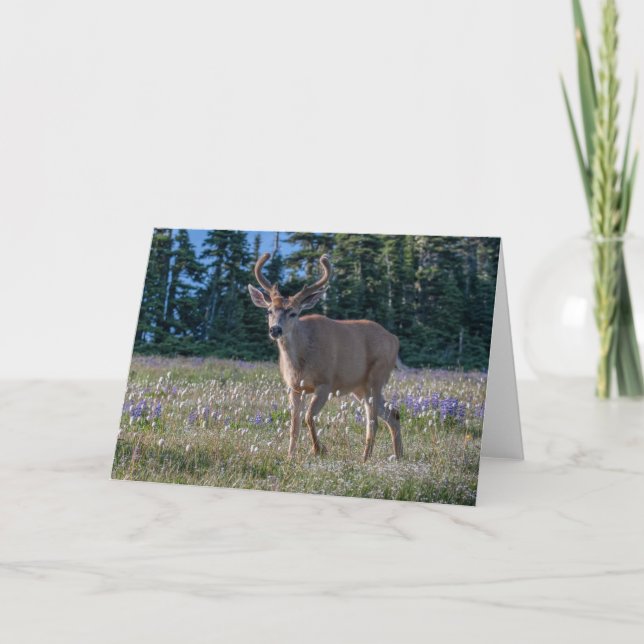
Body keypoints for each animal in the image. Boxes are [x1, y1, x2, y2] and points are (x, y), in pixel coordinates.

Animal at [248, 252, 403, 462]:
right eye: (269, 310)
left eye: (293, 313)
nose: (275, 329)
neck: (300, 363)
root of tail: (395, 339)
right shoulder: (294, 388)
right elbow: (294, 425)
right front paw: (290, 456)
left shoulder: (325, 383)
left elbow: (308, 417)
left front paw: (318, 449)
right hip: (360, 387)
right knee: (392, 414)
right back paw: (398, 455)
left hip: (376, 377)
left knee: (373, 422)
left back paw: (366, 459)